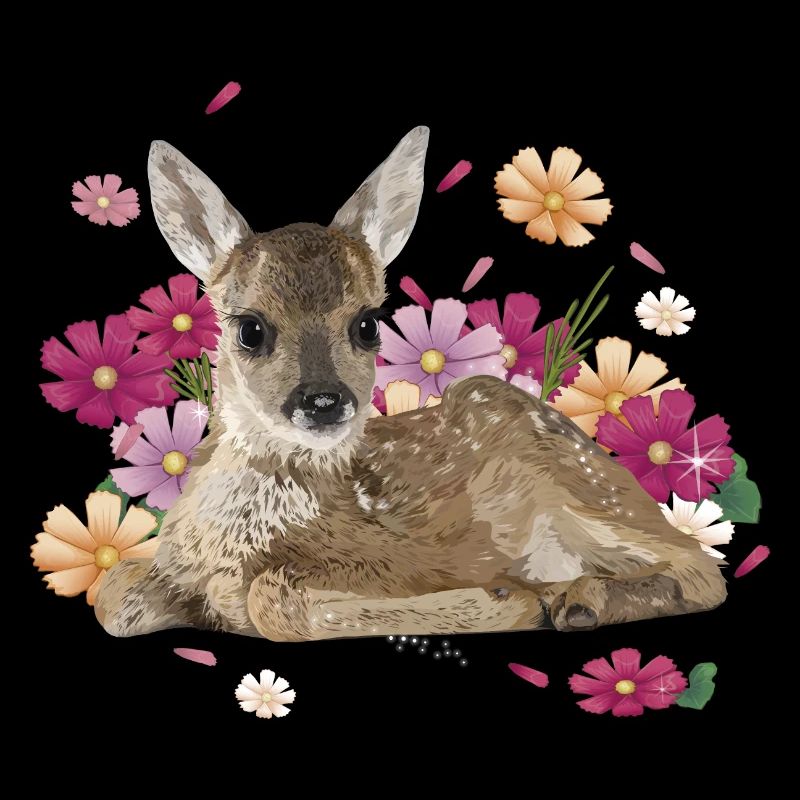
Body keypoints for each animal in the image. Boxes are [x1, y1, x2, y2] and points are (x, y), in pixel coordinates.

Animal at [95, 127, 727, 640]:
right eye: (250, 328)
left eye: (368, 323)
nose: (323, 400)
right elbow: (113, 594)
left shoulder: (407, 559)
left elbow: (272, 600)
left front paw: (509, 600)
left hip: (581, 483)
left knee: (701, 568)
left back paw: (575, 600)